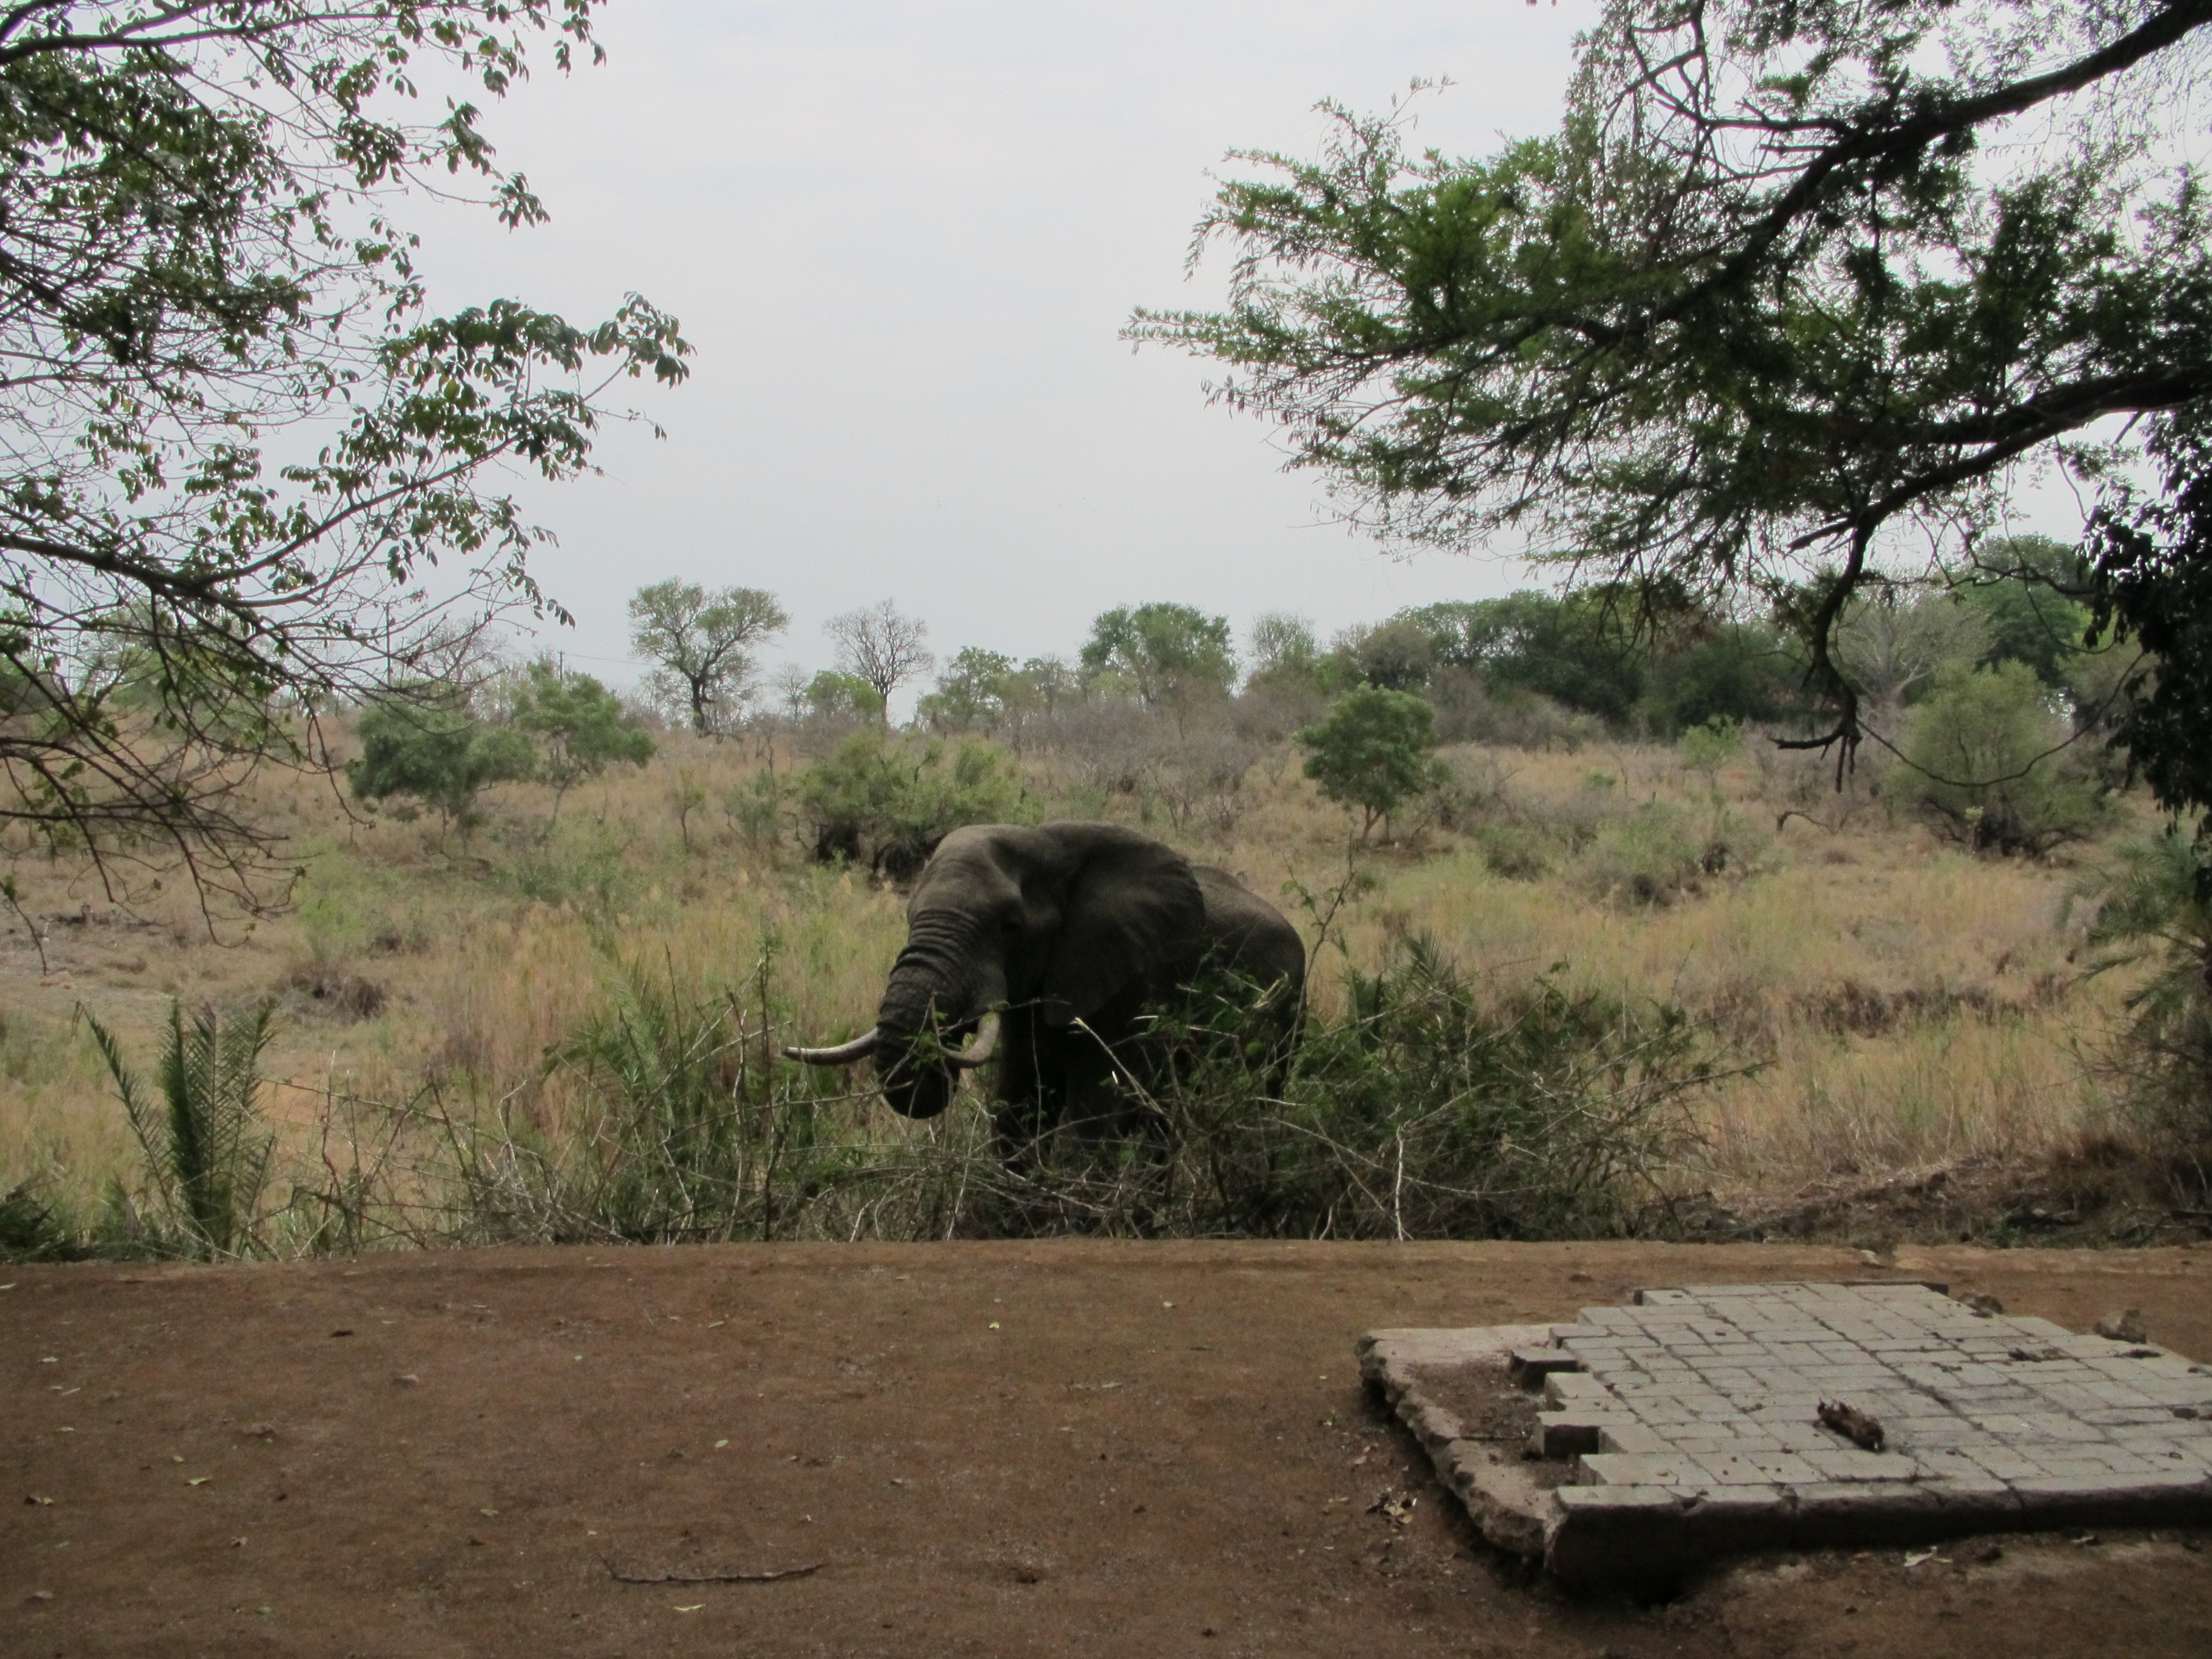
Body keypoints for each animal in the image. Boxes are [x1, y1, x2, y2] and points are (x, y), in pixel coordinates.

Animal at [787, 823, 1301, 1159]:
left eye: (1010, 926)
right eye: (909, 915)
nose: (942, 1047)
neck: (1050, 841)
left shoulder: (1131, 983)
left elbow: (1093, 1122)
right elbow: (1017, 1113)